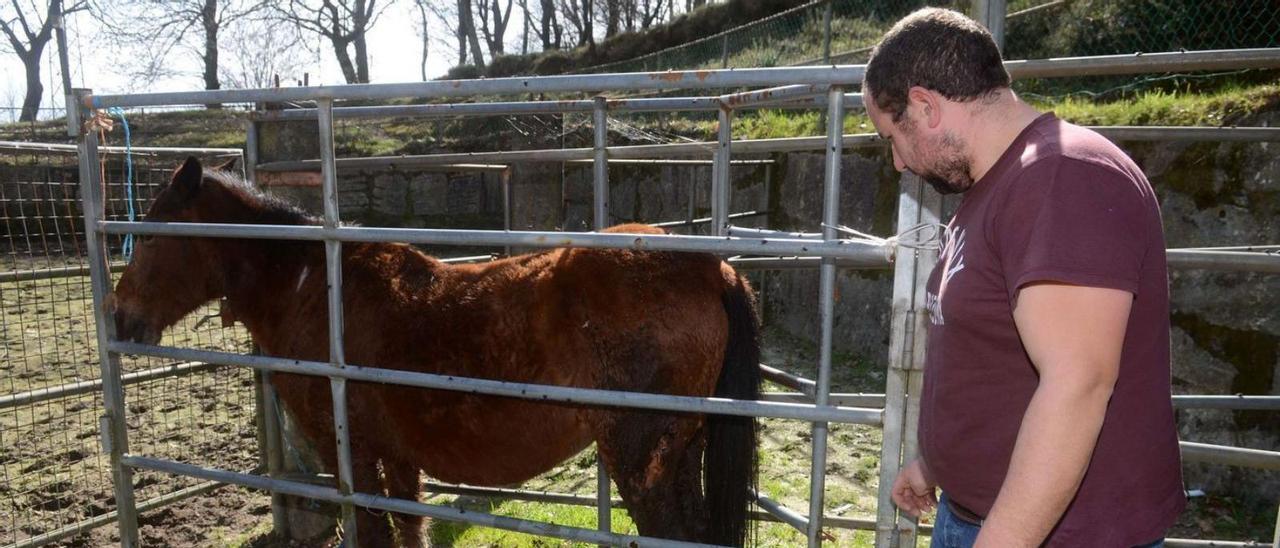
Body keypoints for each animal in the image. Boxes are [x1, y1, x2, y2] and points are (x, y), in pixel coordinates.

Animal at [110, 156, 757, 545]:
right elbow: (408, 526)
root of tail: (710, 268)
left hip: (640, 460)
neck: (314, 288)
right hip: (681, 453)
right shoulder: (399, 458)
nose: (121, 316)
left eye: (150, 237)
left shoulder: (351, 455)